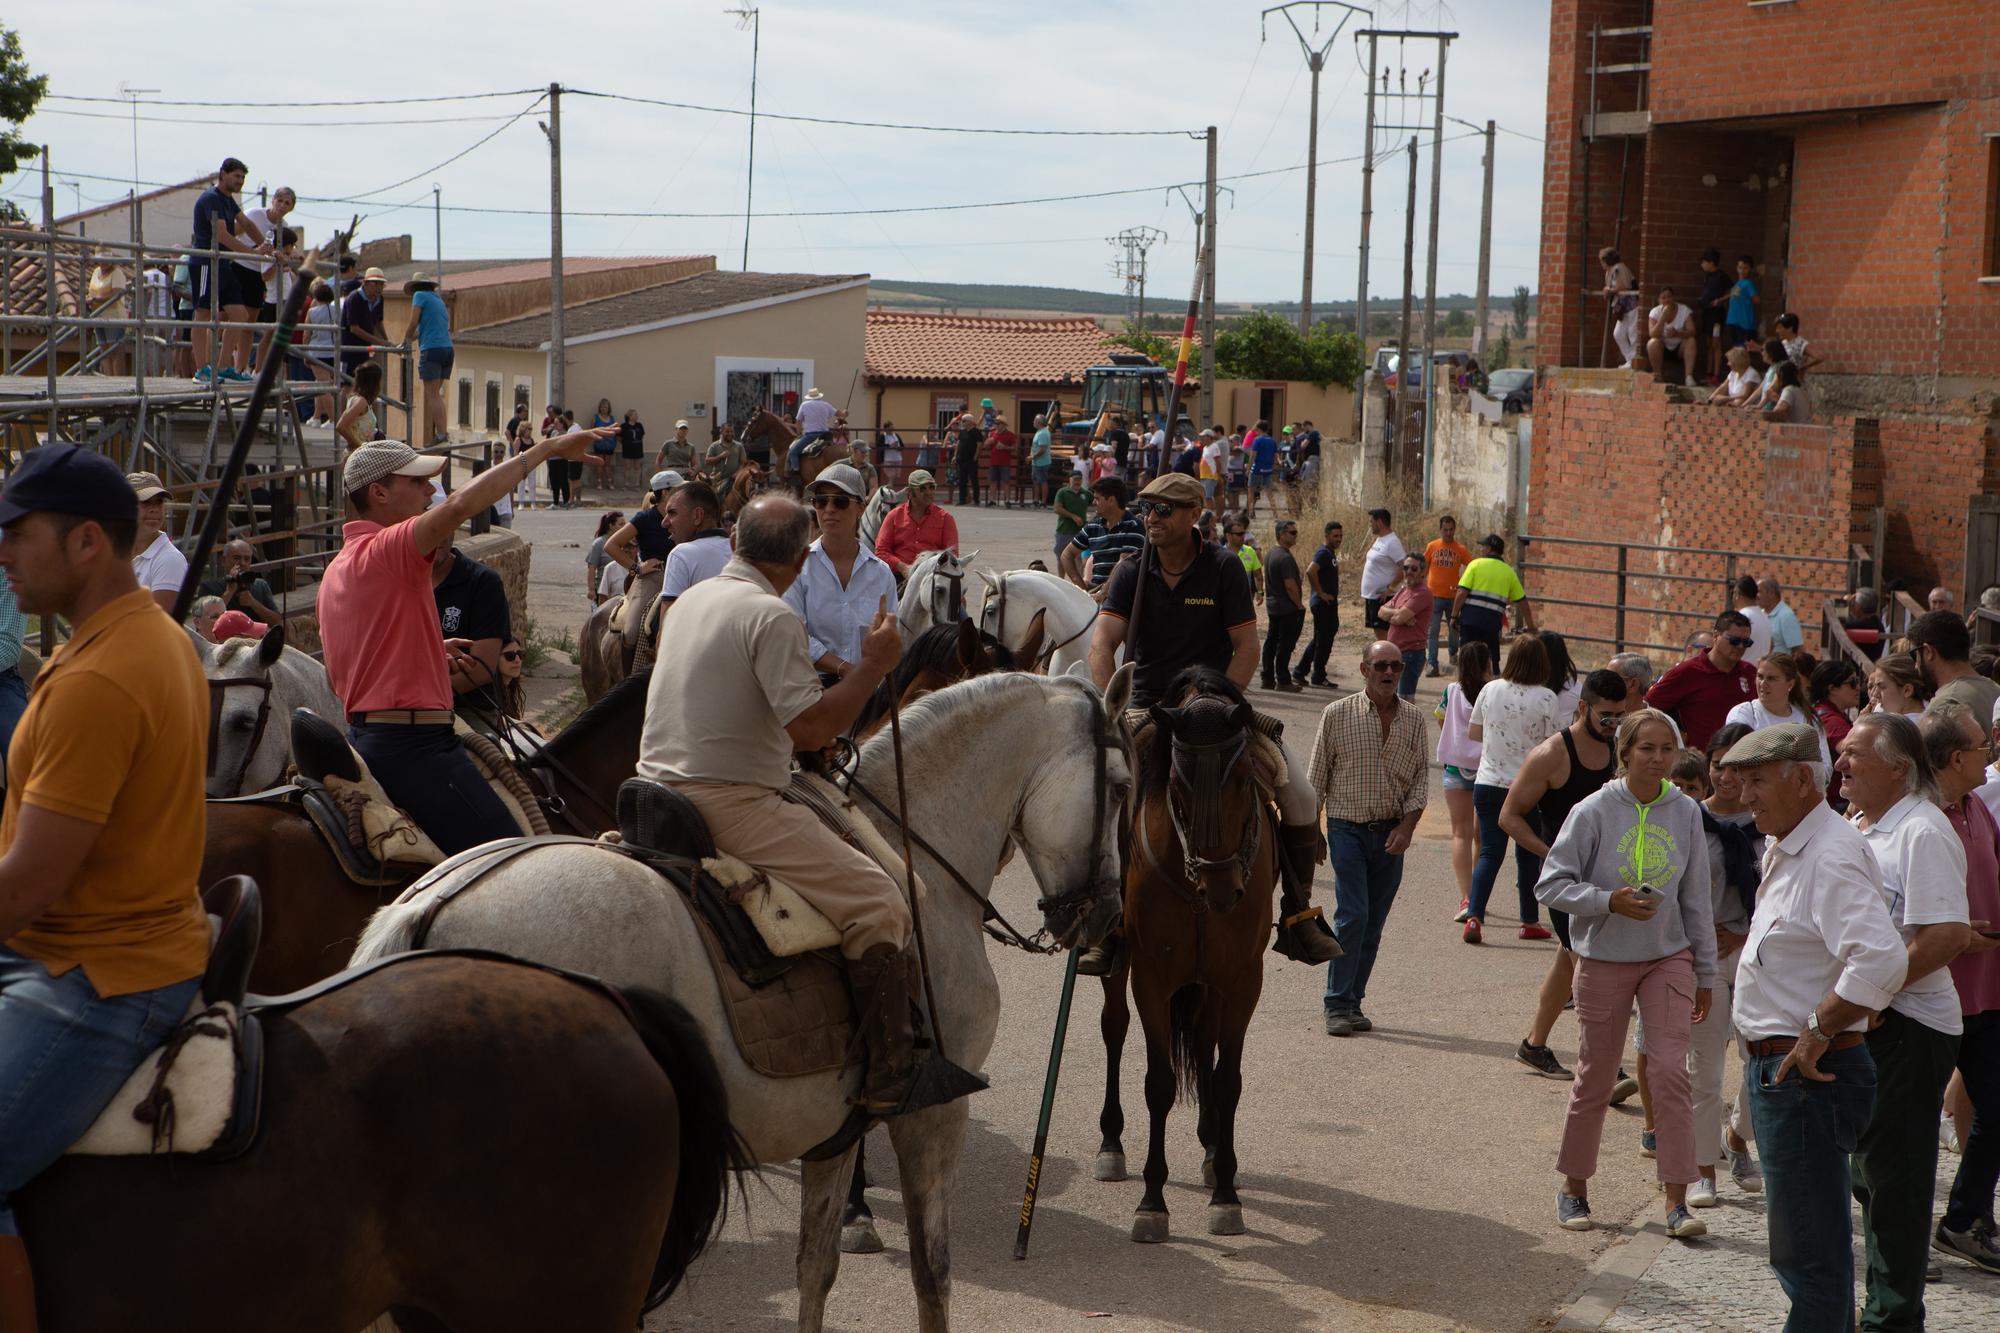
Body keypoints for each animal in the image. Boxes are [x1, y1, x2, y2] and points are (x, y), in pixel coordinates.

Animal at [352, 676, 1136, 1328]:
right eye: (1124, 785)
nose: (1105, 914)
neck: (911, 852)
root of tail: (432, 909)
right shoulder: (933, 1115)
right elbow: (931, 1273)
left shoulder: (837, 1130)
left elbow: (817, 1266)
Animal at [1096, 668, 1280, 1240]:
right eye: (1178, 785)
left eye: (1242, 779)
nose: (1221, 888)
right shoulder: (1152, 979)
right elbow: (1158, 1083)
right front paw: (1152, 1202)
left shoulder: (1242, 982)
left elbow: (1226, 1080)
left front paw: (1226, 1192)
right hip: (1124, 970)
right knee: (1114, 1029)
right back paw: (1111, 1143)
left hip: (1210, 983)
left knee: (1203, 1042)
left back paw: (1213, 1148)